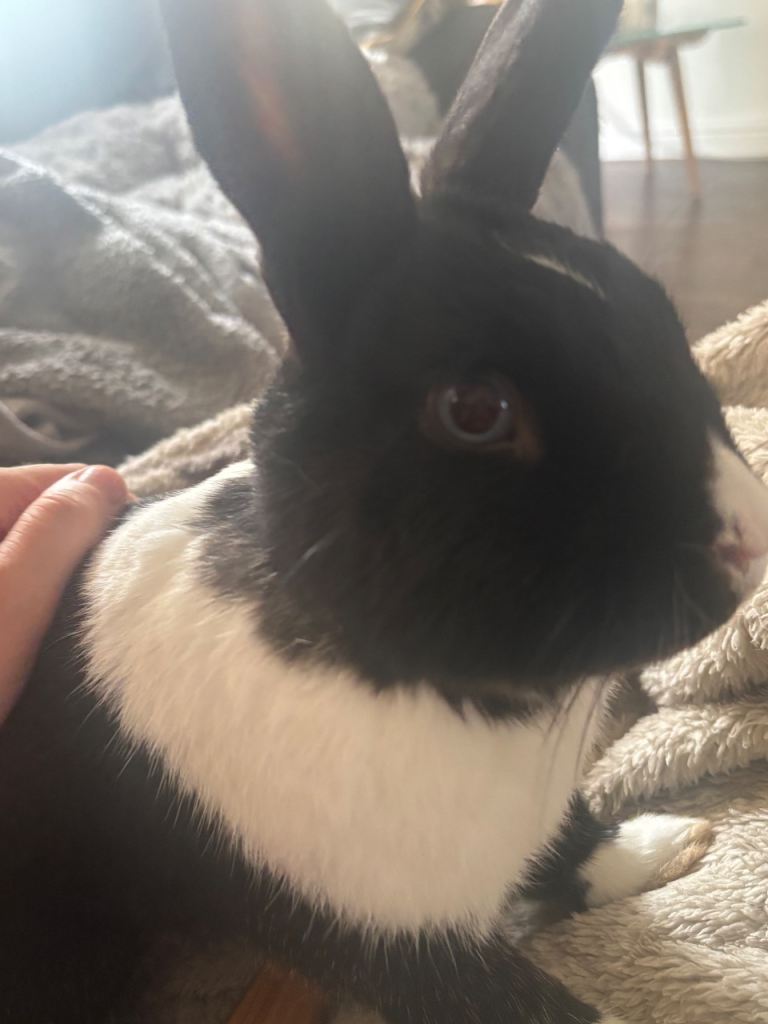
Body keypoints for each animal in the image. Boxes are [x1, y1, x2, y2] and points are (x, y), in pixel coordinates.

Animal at [2, 0, 768, 1022]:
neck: (412, 680)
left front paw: (667, 842)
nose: (749, 538)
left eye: (658, 313)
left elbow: (570, 849)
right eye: (476, 410)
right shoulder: (394, 947)